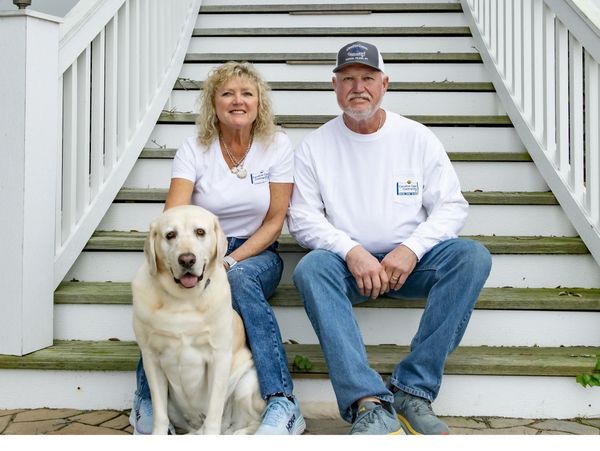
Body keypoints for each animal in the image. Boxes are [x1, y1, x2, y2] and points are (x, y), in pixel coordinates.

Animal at [134, 205, 264, 434]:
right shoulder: (151, 357)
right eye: (170, 235)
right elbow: (160, 414)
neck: (182, 299)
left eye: (200, 232)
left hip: (245, 385)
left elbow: (213, 411)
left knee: (250, 422)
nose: (187, 259)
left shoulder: (219, 356)